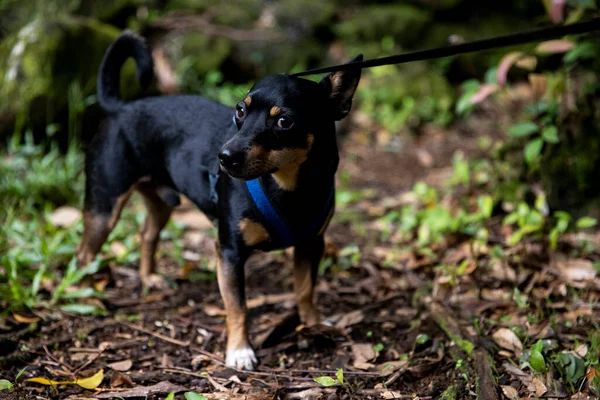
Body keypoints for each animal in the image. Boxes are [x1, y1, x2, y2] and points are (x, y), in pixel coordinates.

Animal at [77, 32, 364, 372]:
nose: (224, 157)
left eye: (284, 122)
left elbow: (305, 289)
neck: (289, 186)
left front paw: (313, 323)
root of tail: (120, 107)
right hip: (104, 207)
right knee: (83, 254)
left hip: (160, 203)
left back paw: (149, 277)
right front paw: (240, 350)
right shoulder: (229, 252)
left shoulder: (311, 244)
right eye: (240, 111)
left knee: (147, 234)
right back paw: (85, 295)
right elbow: (238, 306)